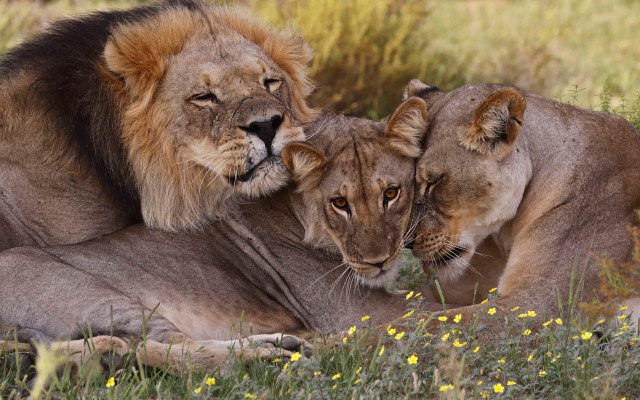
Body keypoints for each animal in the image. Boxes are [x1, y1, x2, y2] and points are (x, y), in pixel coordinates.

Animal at [0, 100, 439, 373]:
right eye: (340, 203)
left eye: (391, 193)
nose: (379, 260)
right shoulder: (355, 311)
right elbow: (444, 314)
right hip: (98, 297)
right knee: (156, 346)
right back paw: (276, 353)